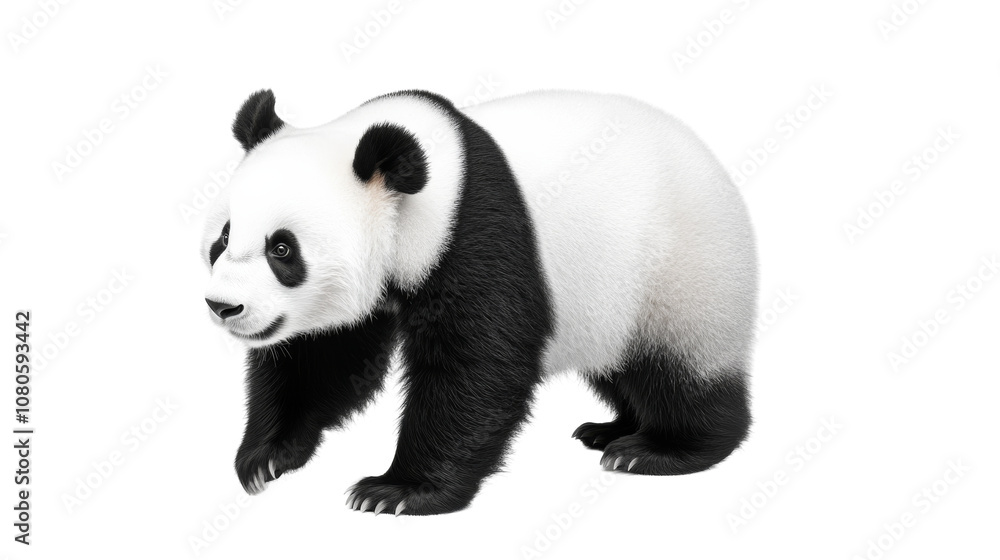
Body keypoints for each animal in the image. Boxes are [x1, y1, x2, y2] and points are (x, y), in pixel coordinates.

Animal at [202, 88, 758, 516]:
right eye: (224, 237)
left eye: (282, 249)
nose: (223, 307)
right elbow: (325, 353)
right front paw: (265, 457)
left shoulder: (474, 234)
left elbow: (477, 366)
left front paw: (396, 491)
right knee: (620, 367)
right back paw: (611, 430)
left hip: (680, 269)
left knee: (678, 366)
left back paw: (658, 449)